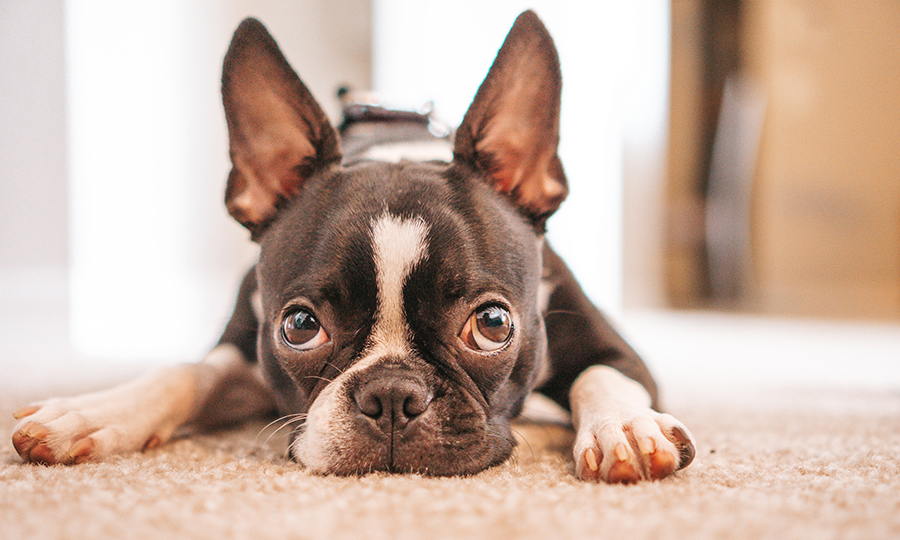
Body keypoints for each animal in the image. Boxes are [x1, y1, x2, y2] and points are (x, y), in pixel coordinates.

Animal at [10, 10, 692, 484]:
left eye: (494, 324)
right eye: (299, 326)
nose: (391, 395)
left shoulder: (613, 349)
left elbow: (603, 376)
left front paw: (624, 429)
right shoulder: (247, 342)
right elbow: (189, 371)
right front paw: (94, 412)